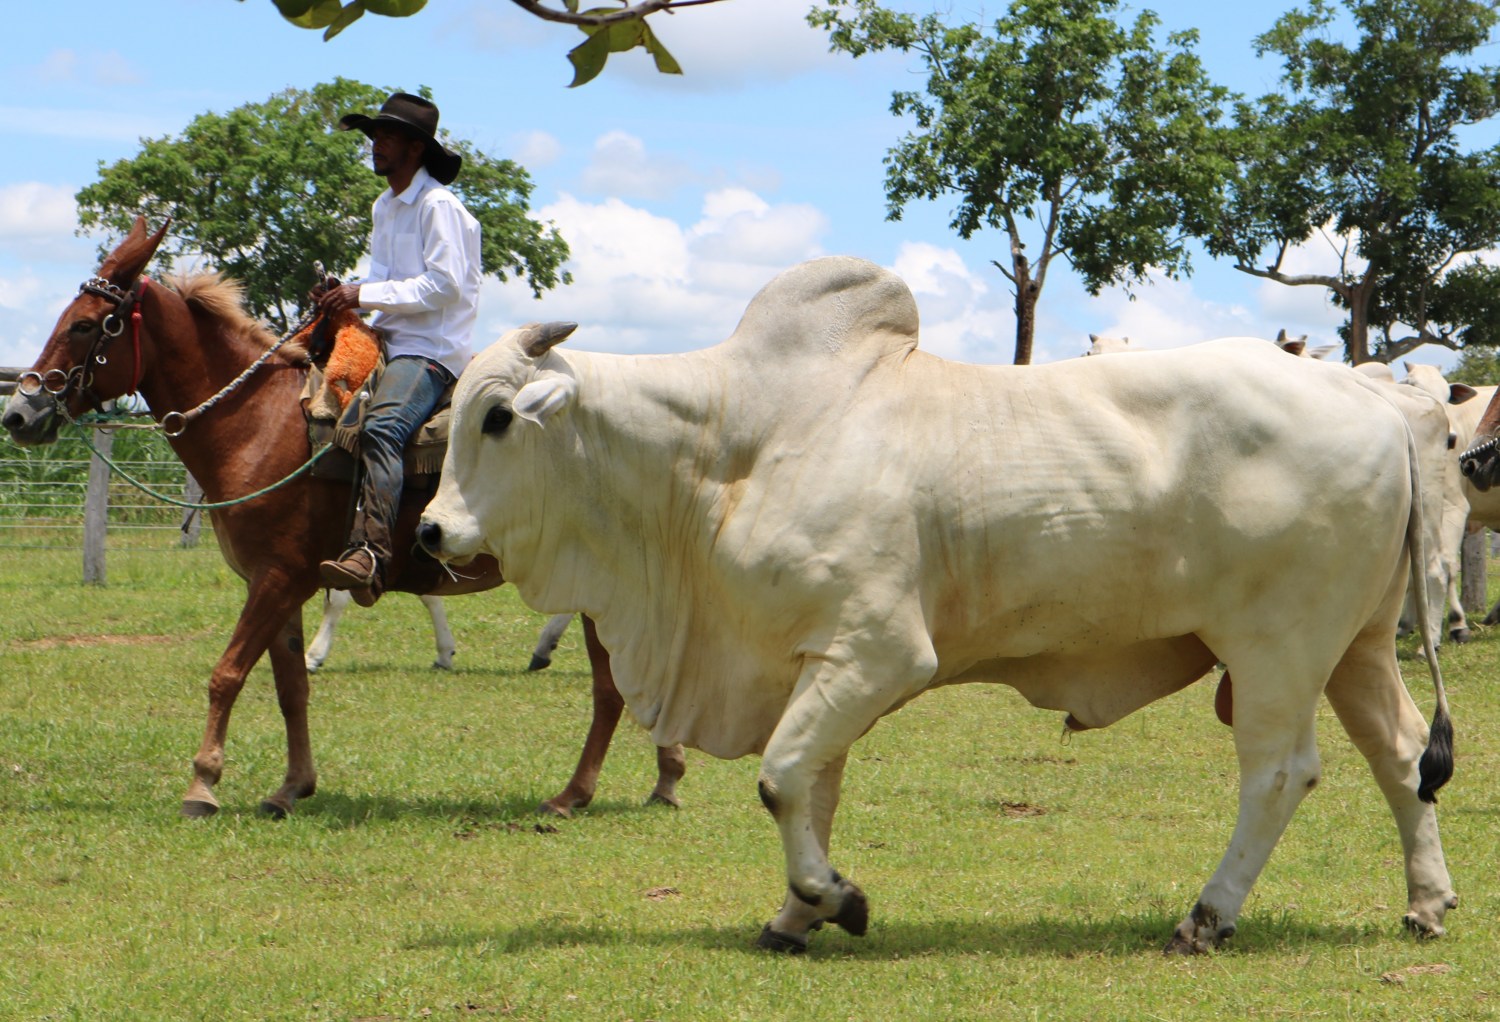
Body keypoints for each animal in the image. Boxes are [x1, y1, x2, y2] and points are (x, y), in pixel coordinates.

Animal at [2, 219, 687, 816]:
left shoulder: (278, 578)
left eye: (86, 324)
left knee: (611, 686)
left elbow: (227, 673)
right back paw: (665, 775)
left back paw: (575, 792)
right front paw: (290, 787)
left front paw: (203, 785)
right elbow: (289, 687)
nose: (19, 412)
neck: (259, 424)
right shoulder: (277, 582)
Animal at [423, 256, 1452, 954]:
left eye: (498, 417)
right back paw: (1425, 903)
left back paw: (1206, 916)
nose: (431, 532)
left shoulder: (878, 652)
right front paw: (796, 913)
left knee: (1279, 775)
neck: (731, 445)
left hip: (1278, 645)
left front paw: (837, 900)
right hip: (1358, 643)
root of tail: (1370, 397)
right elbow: (813, 785)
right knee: (1403, 755)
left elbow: (781, 778)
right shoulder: (817, 657)